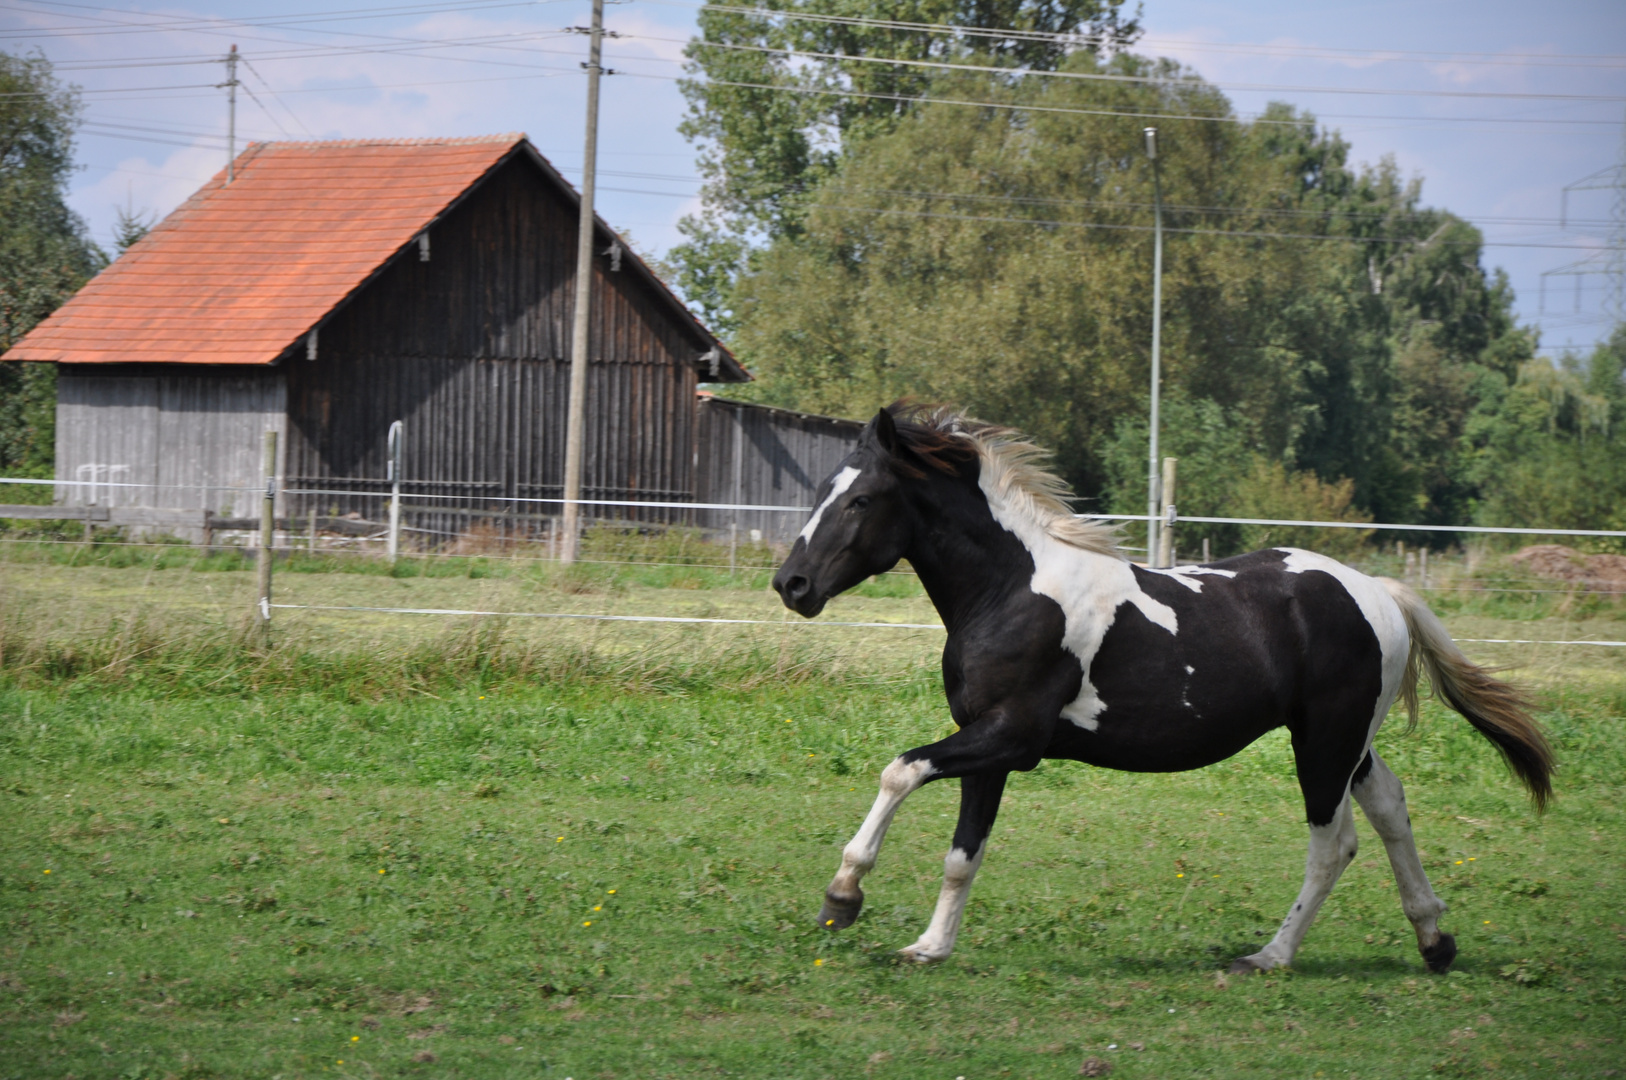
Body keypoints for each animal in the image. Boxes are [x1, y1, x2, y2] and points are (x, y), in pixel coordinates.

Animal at [767, 406, 1554, 975]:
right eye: (823, 492)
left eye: (862, 499)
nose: (791, 584)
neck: (1012, 591)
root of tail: (1379, 592)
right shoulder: (985, 745)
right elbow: (963, 854)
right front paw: (928, 947)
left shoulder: (1011, 736)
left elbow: (899, 770)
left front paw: (843, 897)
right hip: (1346, 741)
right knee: (1390, 807)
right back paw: (1434, 941)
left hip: (1324, 742)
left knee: (1333, 843)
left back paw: (1270, 956)